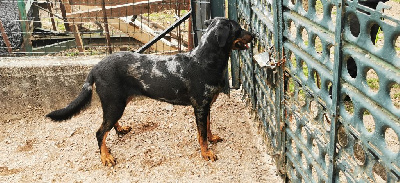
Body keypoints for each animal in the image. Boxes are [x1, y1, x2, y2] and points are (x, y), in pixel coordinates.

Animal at [46, 17, 253, 167]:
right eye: (239, 29)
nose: (253, 35)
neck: (203, 61)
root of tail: (96, 67)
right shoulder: (200, 107)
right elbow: (201, 135)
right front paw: (206, 153)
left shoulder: (206, 106)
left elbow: (208, 127)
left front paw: (212, 139)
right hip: (115, 103)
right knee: (99, 133)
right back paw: (105, 157)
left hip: (118, 102)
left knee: (108, 125)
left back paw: (120, 129)